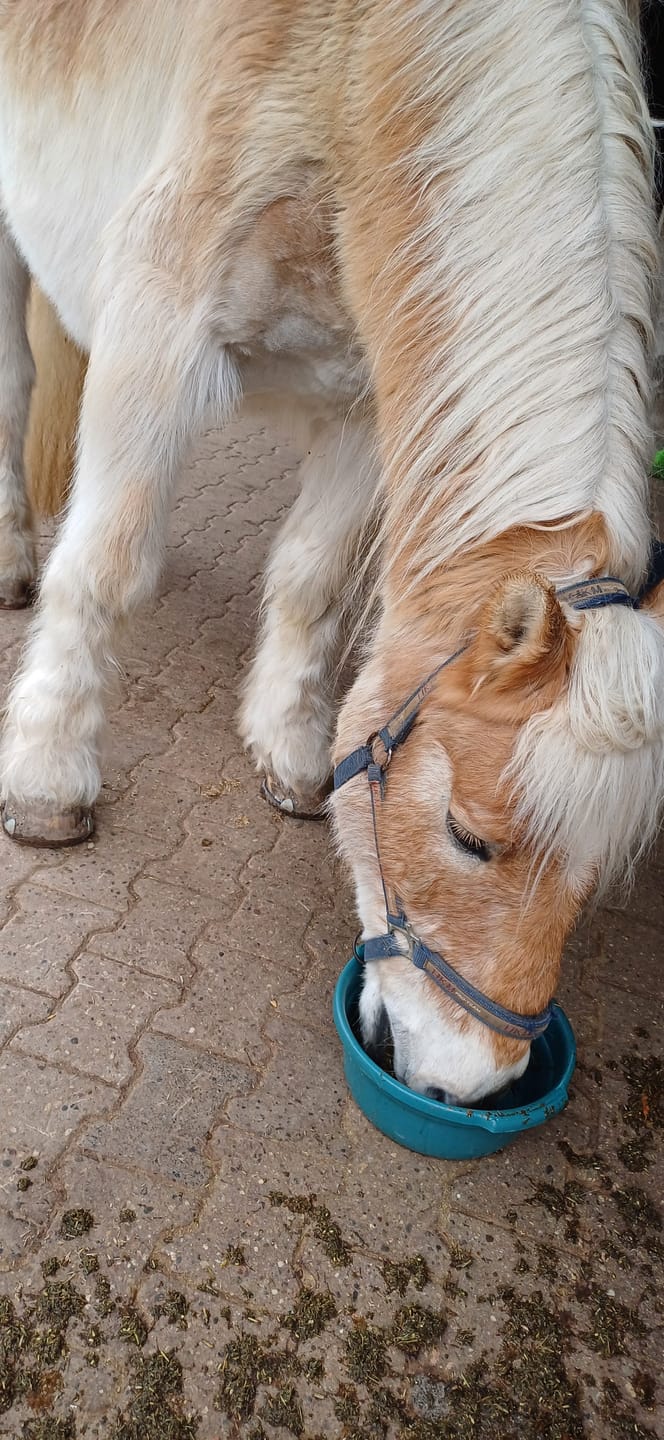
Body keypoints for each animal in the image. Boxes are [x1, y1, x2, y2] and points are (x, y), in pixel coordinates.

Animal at [1, 0, 663, 1105]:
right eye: (470, 838)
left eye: (594, 880)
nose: (468, 1084)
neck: (358, 77)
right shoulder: (158, 335)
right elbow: (107, 563)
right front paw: (48, 777)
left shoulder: (361, 401)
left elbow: (311, 581)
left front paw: (288, 749)